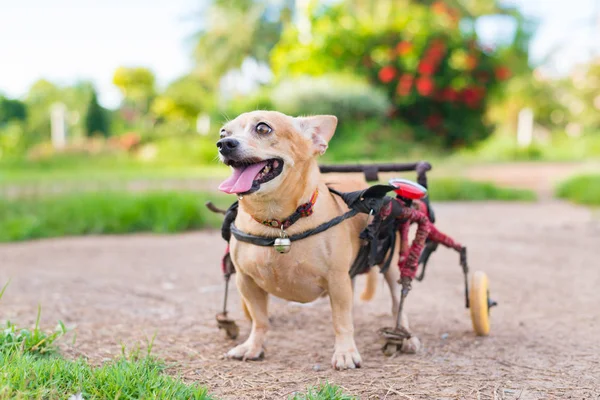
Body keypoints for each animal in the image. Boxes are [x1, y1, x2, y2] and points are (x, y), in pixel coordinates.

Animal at [218, 111, 420, 370]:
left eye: (263, 129)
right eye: (224, 132)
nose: (224, 144)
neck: (280, 223)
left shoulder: (337, 280)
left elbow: (341, 320)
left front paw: (345, 352)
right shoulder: (246, 281)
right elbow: (259, 319)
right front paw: (253, 346)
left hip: (391, 268)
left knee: (398, 303)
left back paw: (406, 336)